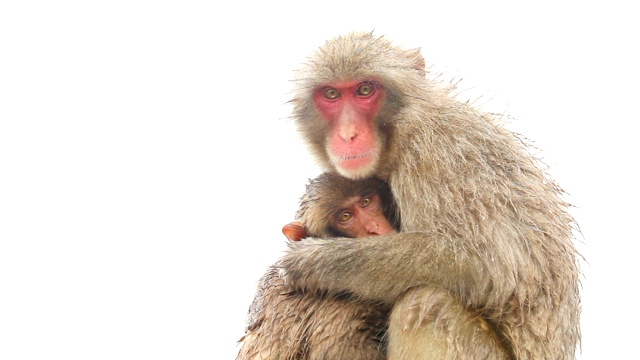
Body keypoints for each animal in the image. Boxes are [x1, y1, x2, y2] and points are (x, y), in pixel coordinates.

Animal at [278, 31, 584, 360]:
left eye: (364, 90)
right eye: (332, 95)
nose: (348, 134)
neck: (401, 128)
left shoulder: (431, 153)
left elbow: (487, 267)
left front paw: (317, 261)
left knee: (427, 303)